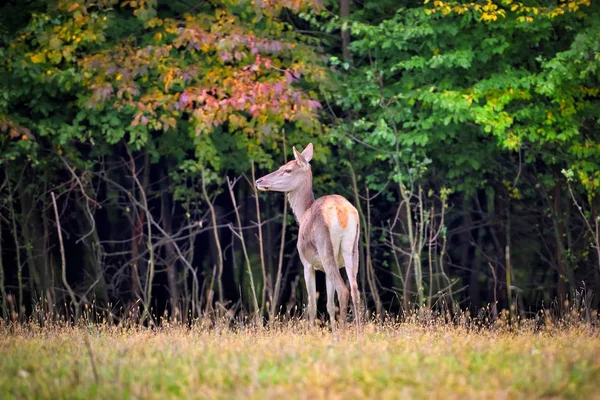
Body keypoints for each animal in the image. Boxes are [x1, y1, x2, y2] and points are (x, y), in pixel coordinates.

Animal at [254, 144, 360, 332]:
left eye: (287, 169)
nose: (259, 181)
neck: (303, 211)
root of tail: (342, 213)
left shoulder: (307, 263)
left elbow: (311, 304)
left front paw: (312, 332)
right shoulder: (324, 268)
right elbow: (329, 305)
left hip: (325, 247)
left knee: (343, 290)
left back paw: (344, 332)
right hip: (353, 248)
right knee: (355, 290)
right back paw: (358, 332)